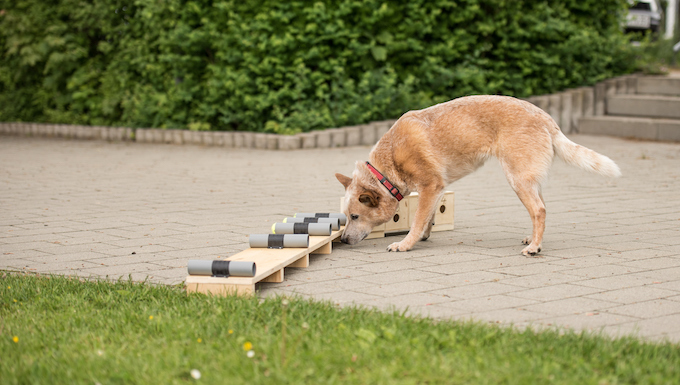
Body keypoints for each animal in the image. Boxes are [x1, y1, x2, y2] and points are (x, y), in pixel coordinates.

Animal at [334, 94, 620, 255]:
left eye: (355, 216)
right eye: (346, 217)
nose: (345, 240)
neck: (388, 165)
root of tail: (547, 118)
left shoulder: (429, 185)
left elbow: (416, 220)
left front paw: (405, 244)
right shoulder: (437, 188)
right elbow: (428, 216)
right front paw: (425, 234)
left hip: (517, 178)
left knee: (539, 210)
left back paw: (534, 247)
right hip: (530, 178)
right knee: (542, 208)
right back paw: (533, 238)